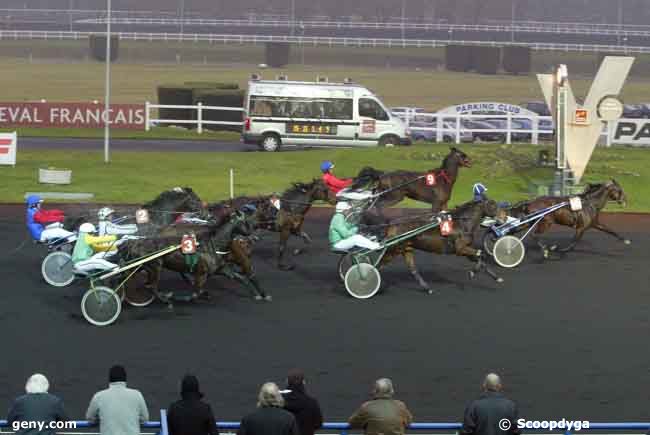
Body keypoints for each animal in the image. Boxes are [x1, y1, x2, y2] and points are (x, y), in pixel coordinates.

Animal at [117, 209, 268, 304]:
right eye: (245, 221)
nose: (254, 235)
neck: (214, 244)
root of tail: (135, 242)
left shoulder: (220, 269)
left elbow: (241, 278)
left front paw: (259, 295)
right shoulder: (201, 273)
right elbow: (197, 293)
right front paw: (187, 297)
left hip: (143, 267)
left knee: (140, 282)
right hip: (155, 267)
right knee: (152, 286)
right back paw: (167, 299)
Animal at [368, 199, 504, 294]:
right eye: (492, 205)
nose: (504, 217)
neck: (462, 223)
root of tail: (392, 224)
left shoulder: (465, 250)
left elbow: (481, 259)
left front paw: (497, 278)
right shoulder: (460, 249)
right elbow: (481, 254)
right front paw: (472, 272)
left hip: (406, 249)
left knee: (413, 270)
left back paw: (427, 288)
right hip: (393, 249)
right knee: (378, 266)